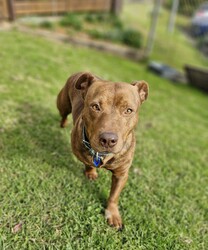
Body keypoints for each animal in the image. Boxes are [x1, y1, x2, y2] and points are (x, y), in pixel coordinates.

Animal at [56, 71, 149, 229]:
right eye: (95, 106)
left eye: (128, 110)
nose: (108, 140)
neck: (102, 155)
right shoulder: (82, 153)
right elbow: (88, 162)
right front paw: (91, 172)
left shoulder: (121, 174)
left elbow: (114, 196)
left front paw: (112, 214)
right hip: (63, 104)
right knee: (63, 114)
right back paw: (63, 123)